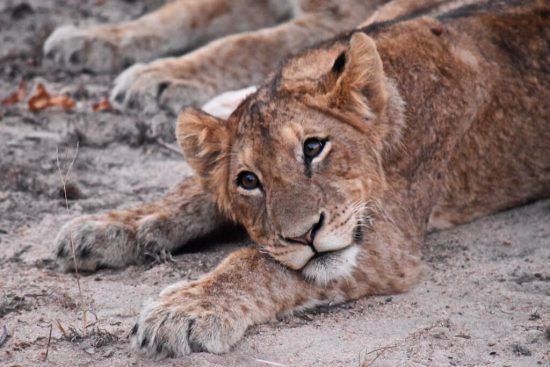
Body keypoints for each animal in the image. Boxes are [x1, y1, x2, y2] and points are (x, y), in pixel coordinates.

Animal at [49, 0, 548, 360]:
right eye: (248, 180)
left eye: (313, 147)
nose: (305, 235)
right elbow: (194, 191)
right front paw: (107, 226)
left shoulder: (391, 245)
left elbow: (257, 263)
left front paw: (184, 310)